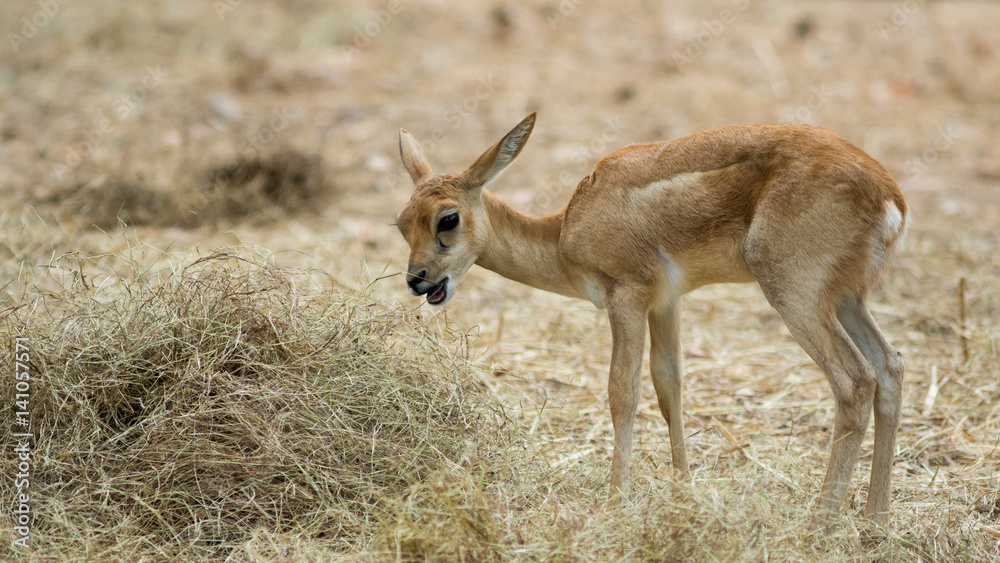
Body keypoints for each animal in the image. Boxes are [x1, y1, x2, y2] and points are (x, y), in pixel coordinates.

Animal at [394, 113, 908, 525]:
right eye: (402, 222)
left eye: (447, 218)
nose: (418, 280)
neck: (564, 233)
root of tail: (890, 196)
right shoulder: (666, 302)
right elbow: (669, 385)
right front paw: (684, 491)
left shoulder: (627, 296)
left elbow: (622, 391)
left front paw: (614, 501)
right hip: (846, 299)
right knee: (890, 366)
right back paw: (876, 519)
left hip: (797, 295)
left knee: (855, 380)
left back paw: (821, 523)